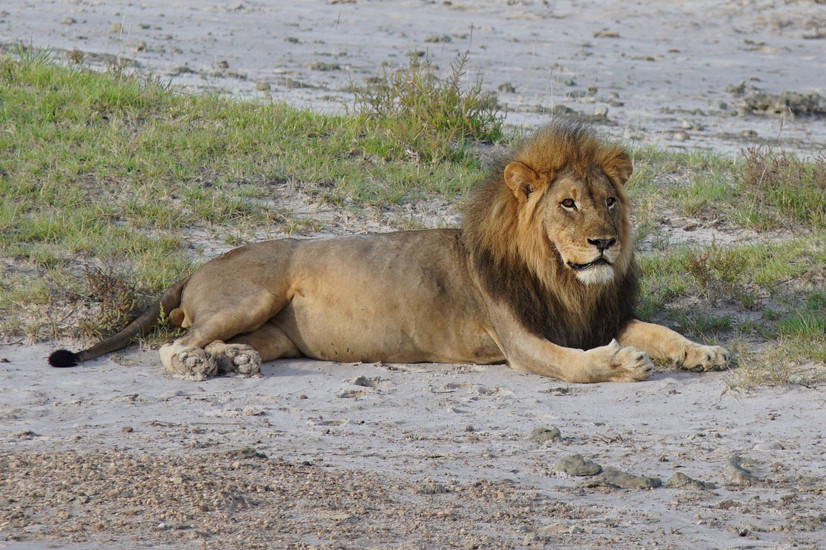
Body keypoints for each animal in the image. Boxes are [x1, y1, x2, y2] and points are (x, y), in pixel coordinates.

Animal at [49, 121, 729, 383]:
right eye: (567, 205)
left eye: (609, 201)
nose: (604, 242)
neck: (564, 281)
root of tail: (197, 264)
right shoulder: (521, 341)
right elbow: (576, 364)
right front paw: (621, 363)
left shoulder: (598, 314)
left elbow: (660, 329)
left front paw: (703, 352)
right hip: (252, 295)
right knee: (175, 342)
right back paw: (198, 364)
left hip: (274, 333)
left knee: (225, 342)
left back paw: (234, 361)